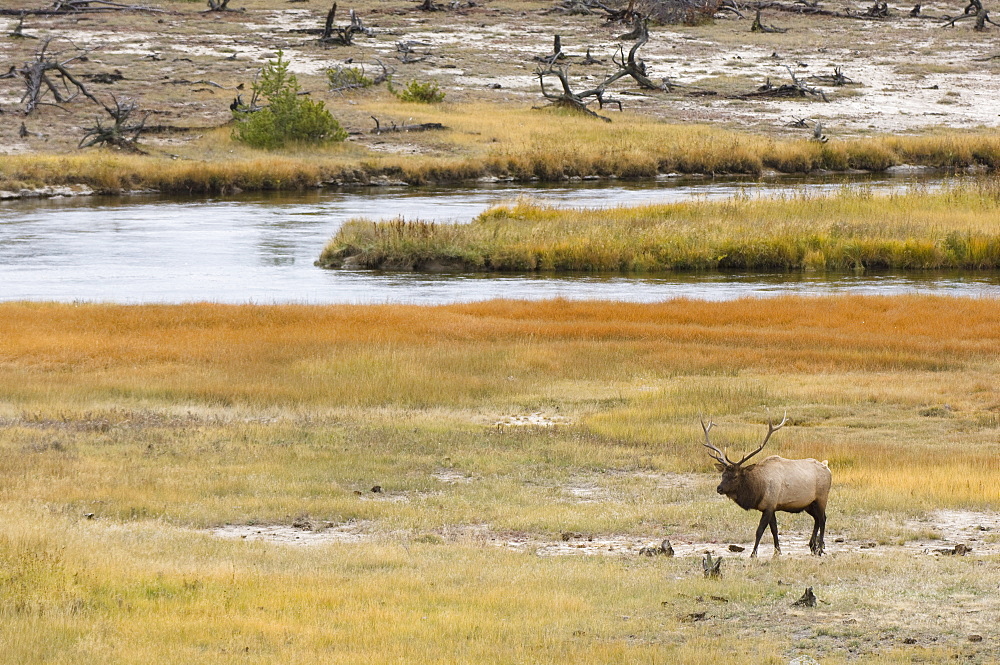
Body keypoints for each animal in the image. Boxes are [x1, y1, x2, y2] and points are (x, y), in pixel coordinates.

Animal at [704, 412, 836, 556]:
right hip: (809, 504)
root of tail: (827, 468)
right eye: (722, 475)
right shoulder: (771, 507)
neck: (758, 489)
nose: (719, 488)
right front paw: (777, 551)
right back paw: (812, 546)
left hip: (822, 497)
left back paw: (819, 548)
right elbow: (774, 530)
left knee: (823, 519)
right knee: (817, 519)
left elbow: (759, 531)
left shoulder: (769, 505)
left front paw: (753, 554)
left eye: (735, 476)